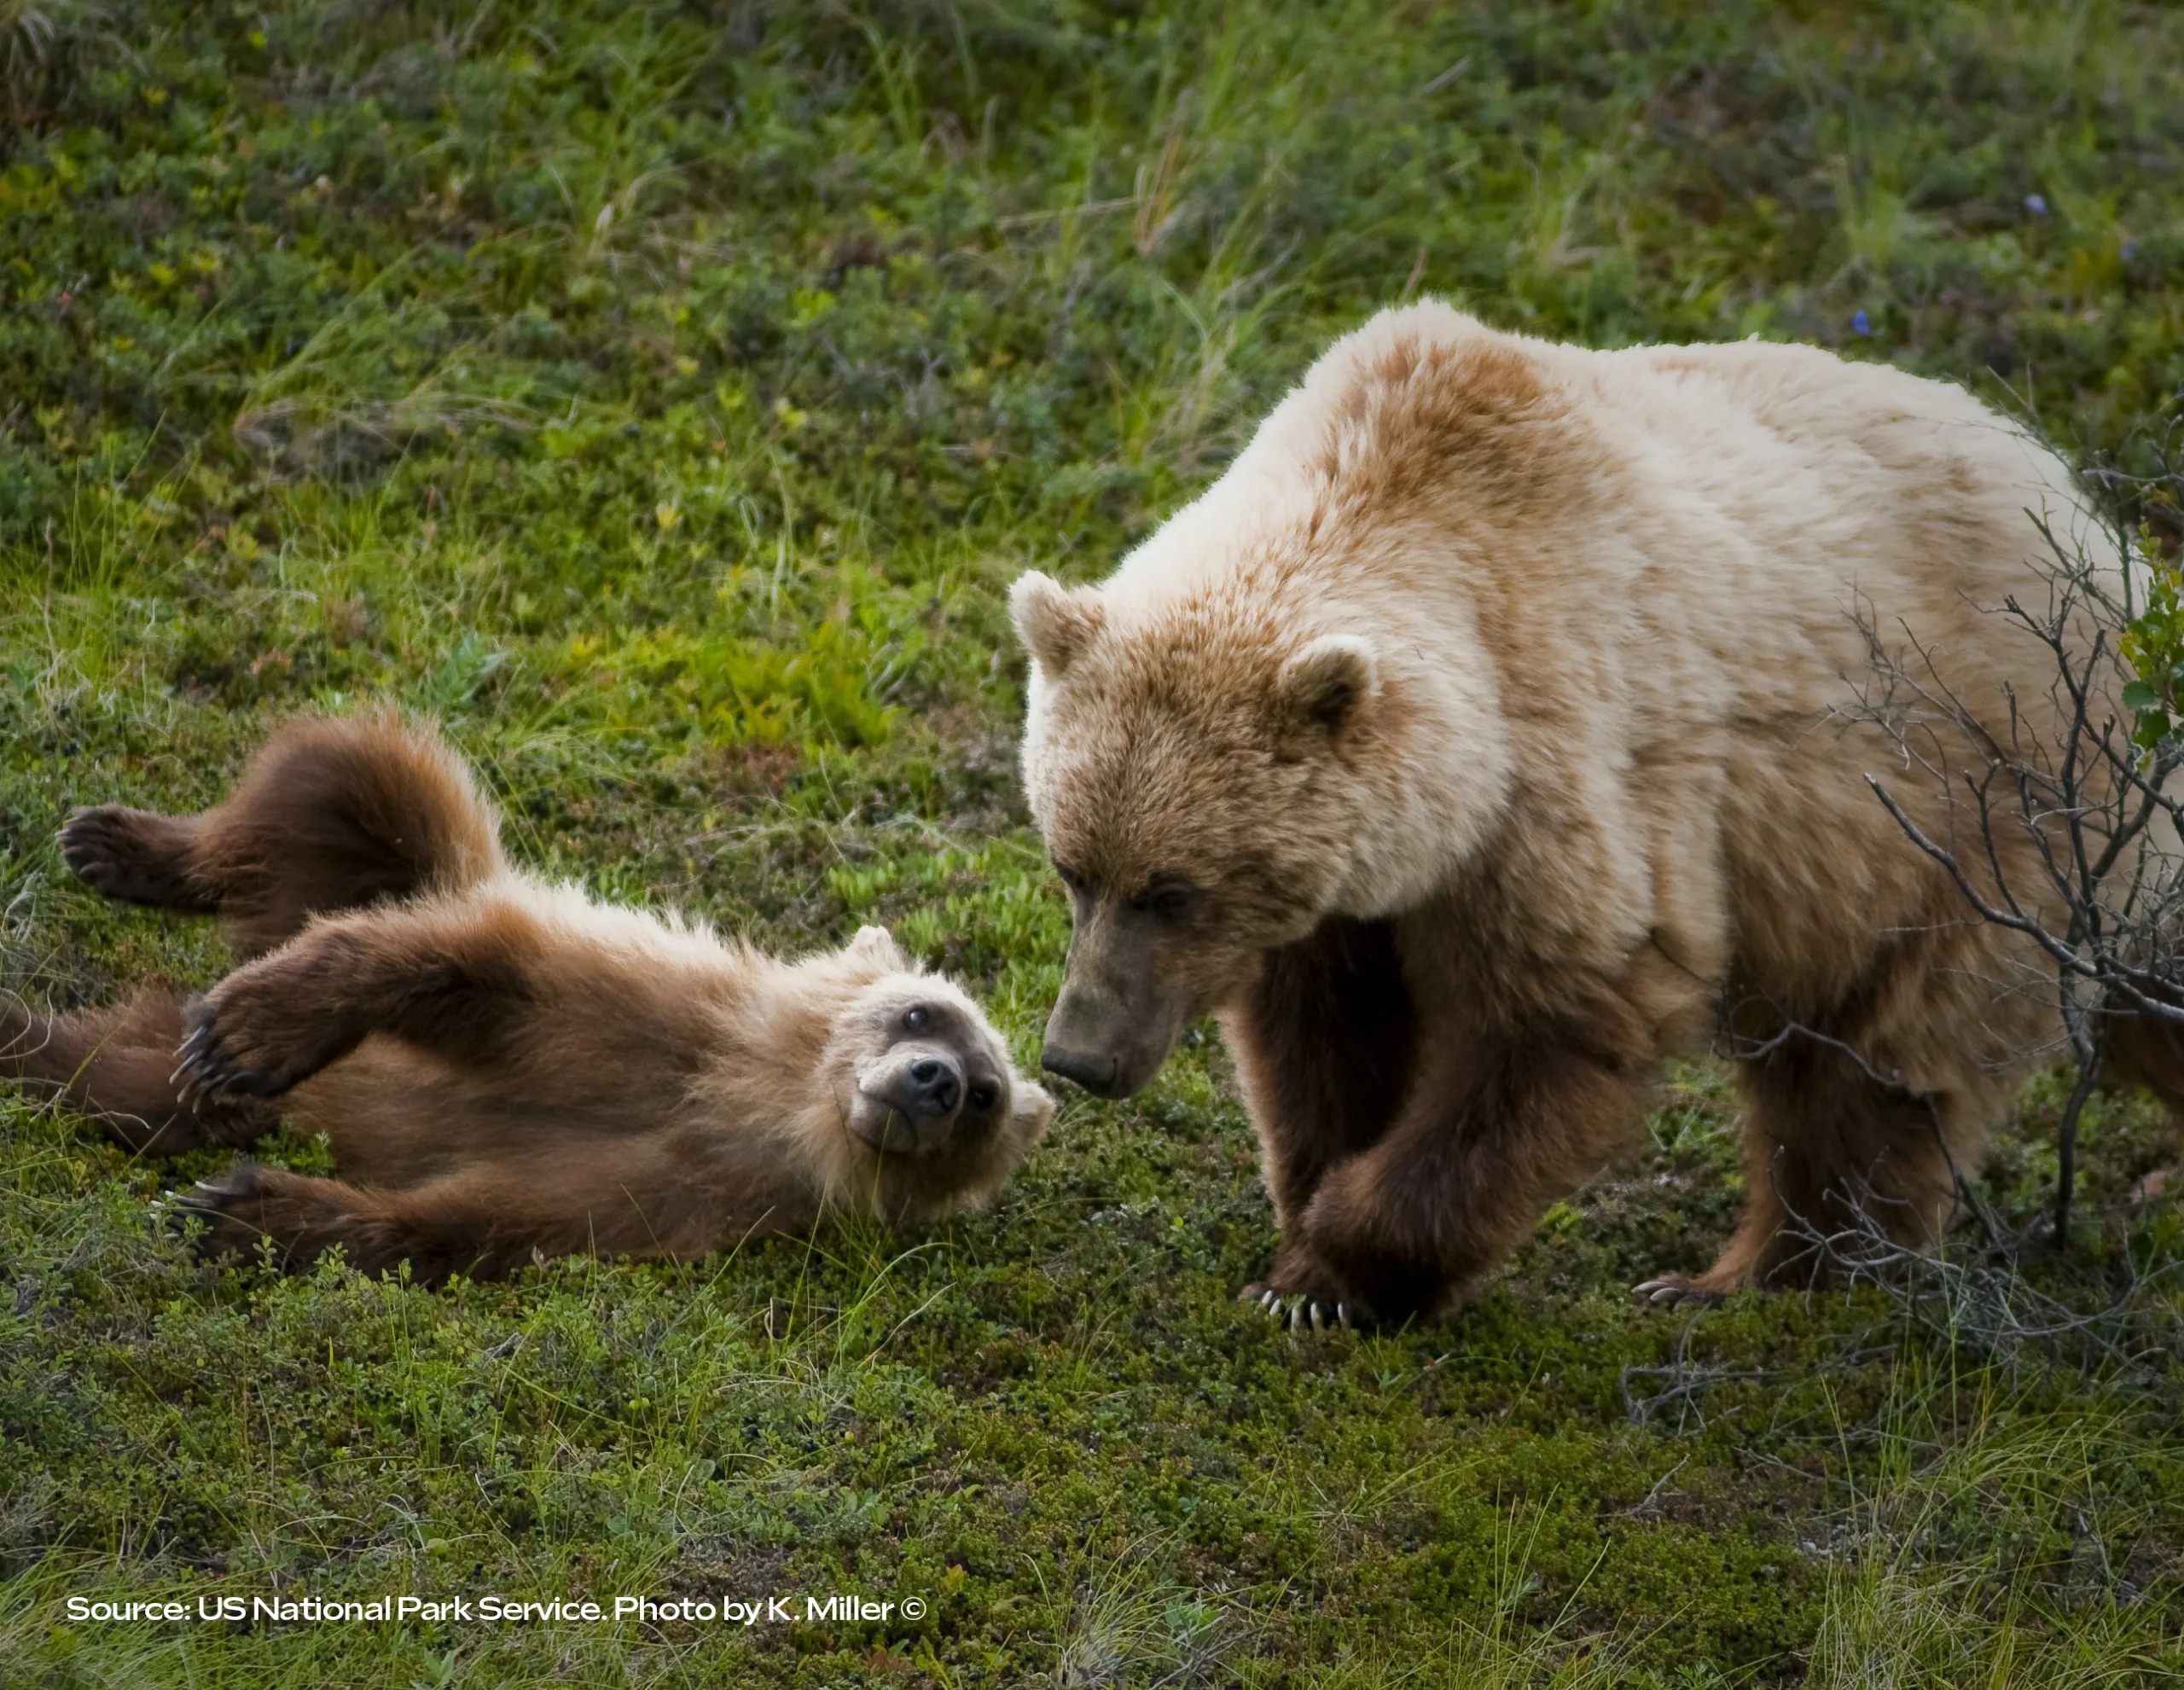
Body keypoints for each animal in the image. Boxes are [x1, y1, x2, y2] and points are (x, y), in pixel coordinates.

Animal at [0, 716, 1057, 1283]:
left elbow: (488, 1216)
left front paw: (241, 1210)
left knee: (118, 1077)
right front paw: (249, 1031)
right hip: (401, 861)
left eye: (985, 1095)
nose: (933, 1081)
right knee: (346, 777)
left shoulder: (694, 1194)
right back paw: (120, 847)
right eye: (923, 1012)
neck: (758, 1098)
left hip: (181, 1085)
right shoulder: (645, 1014)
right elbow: (473, 972)